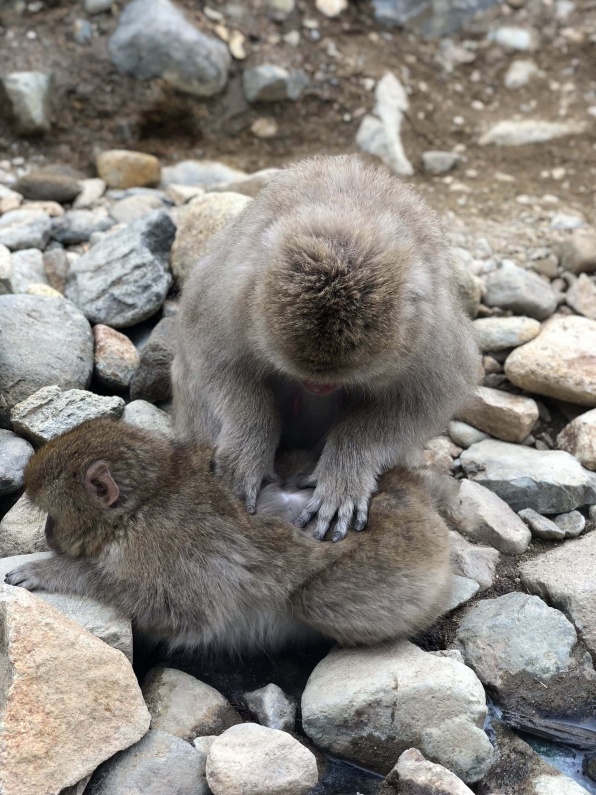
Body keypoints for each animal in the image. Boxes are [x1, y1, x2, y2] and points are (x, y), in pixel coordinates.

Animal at [5, 418, 452, 651]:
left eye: (52, 517)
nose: (49, 537)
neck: (146, 502)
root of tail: (421, 499)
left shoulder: (165, 547)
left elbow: (178, 610)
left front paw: (50, 571)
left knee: (316, 600)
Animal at [172, 155, 479, 541]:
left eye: (335, 379)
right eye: (307, 376)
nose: (317, 387)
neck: (346, 222)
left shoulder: (431, 334)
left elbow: (422, 402)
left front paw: (344, 474)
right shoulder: (226, 293)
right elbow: (213, 358)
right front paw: (248, 446)